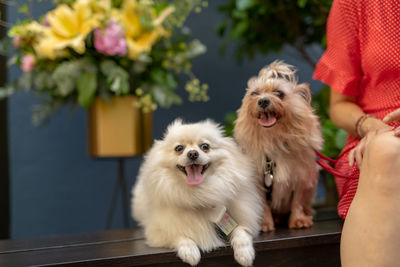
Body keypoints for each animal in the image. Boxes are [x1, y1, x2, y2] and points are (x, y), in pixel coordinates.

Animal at [130, 120, 262, 266]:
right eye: (179, 148)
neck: (199, 194)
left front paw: (244, 253)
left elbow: (241, 231)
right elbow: (179, 235)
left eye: (205, 146)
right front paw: (189, 251)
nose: (192, 153)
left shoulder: (246, 219)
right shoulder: (159, 231)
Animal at [234, 61, 322, 232]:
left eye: (279, 93)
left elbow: (297, 201)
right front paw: (264, 223)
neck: (274, 139)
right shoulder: (258, 182)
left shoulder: (301, 178)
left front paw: (298, 219)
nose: (263, 101)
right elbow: (263, 204)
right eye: (254, 93)